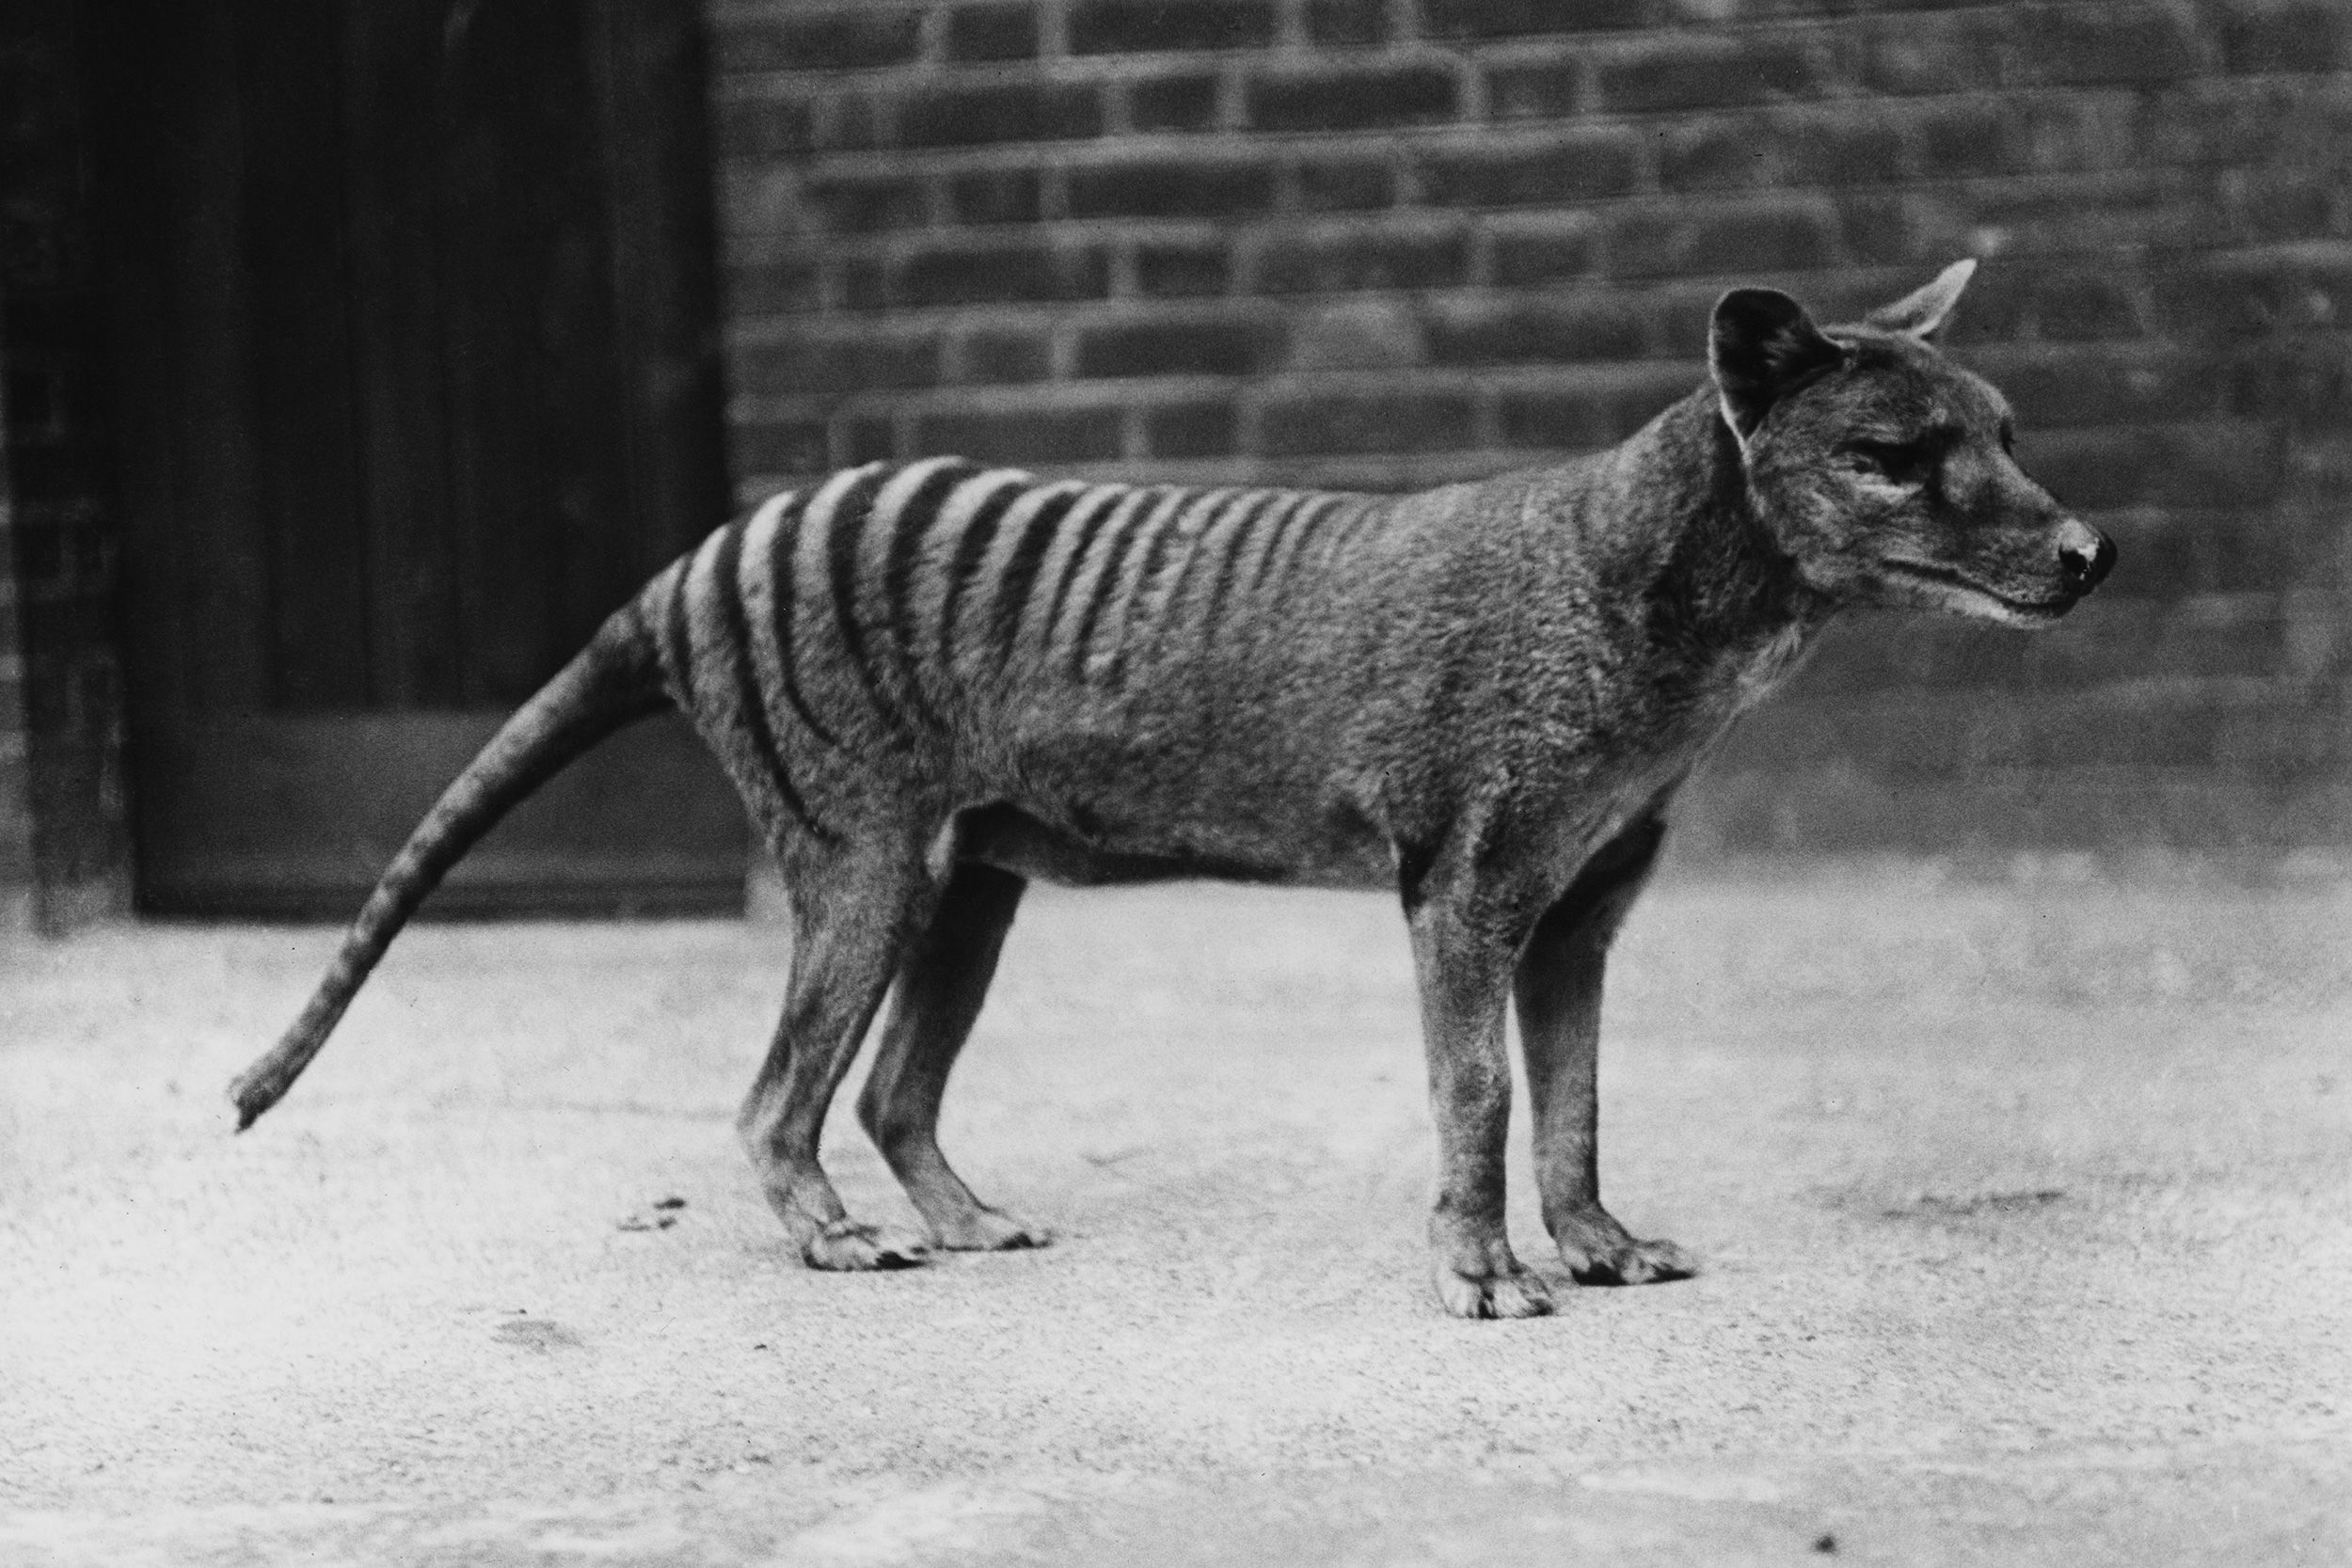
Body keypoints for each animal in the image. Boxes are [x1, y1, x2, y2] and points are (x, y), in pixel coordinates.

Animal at [230, 262, 2115, 1318]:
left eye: (2010, 431)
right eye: (1896, 456)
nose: (2093, 552)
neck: (1632, 589)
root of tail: (692, 560)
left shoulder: (1580, 908)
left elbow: (1575, 1098)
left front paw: (1594, 1241)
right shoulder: (1465, 888)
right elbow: (1481, 1096)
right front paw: (1484, 1268)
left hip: (967, 881)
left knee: (892, 1090)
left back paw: (962, 1217)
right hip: (861, 863)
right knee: (779, 1100)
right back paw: (839, 1241)